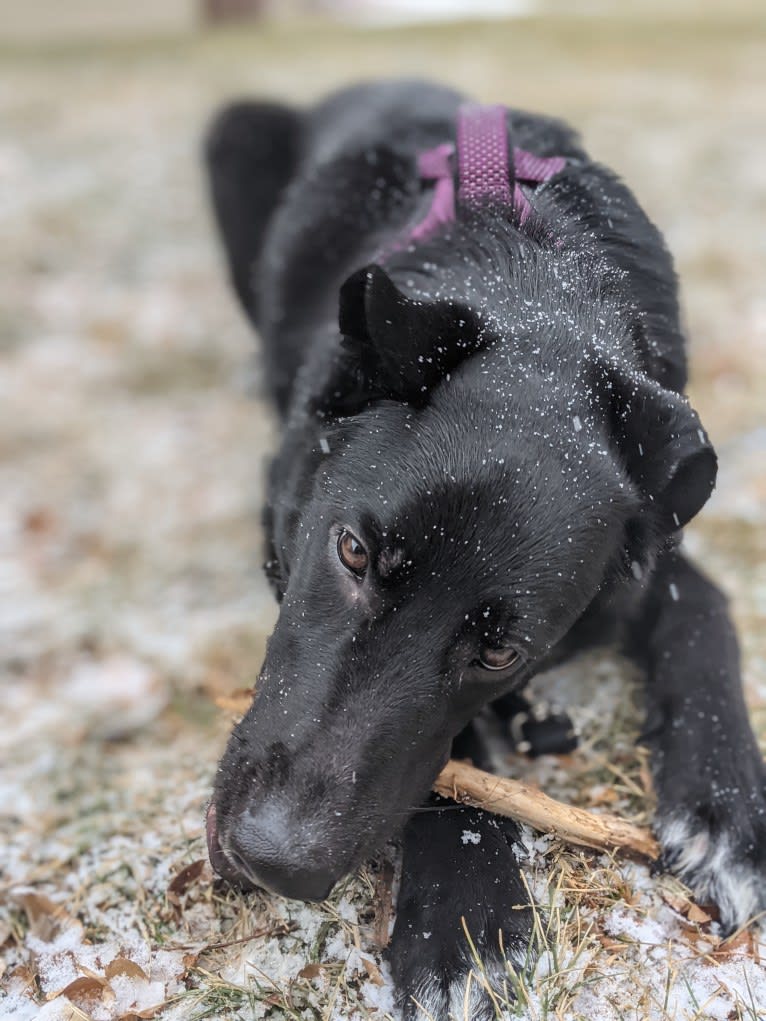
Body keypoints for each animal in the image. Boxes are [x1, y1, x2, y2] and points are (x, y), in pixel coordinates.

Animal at [201, 83, 763, 1016]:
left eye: (502, 651)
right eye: (351, 551)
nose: (276, 859)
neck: (536, 286)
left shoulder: (653, 556)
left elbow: (706, 612)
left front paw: (728, 810)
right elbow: (455, 754)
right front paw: (466, 913)